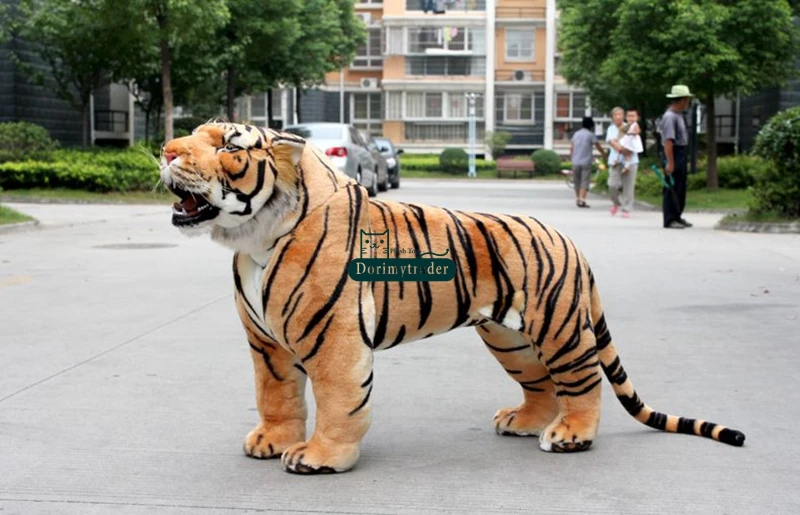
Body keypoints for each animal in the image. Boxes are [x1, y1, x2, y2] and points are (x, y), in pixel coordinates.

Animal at [159, 122, 745, 475]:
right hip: (510, 340)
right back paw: (524, 422)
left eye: (228, 146)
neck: (254, 237)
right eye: (191, 134)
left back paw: (570, 436)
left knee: (582, 384)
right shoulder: (267, 344)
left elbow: (338, 400)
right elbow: (276, 395)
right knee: (543, 387)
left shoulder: (333, 339)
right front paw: (273, 441)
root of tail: (568, 238)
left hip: (558, 329)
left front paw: (321, 457)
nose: (165, 149)